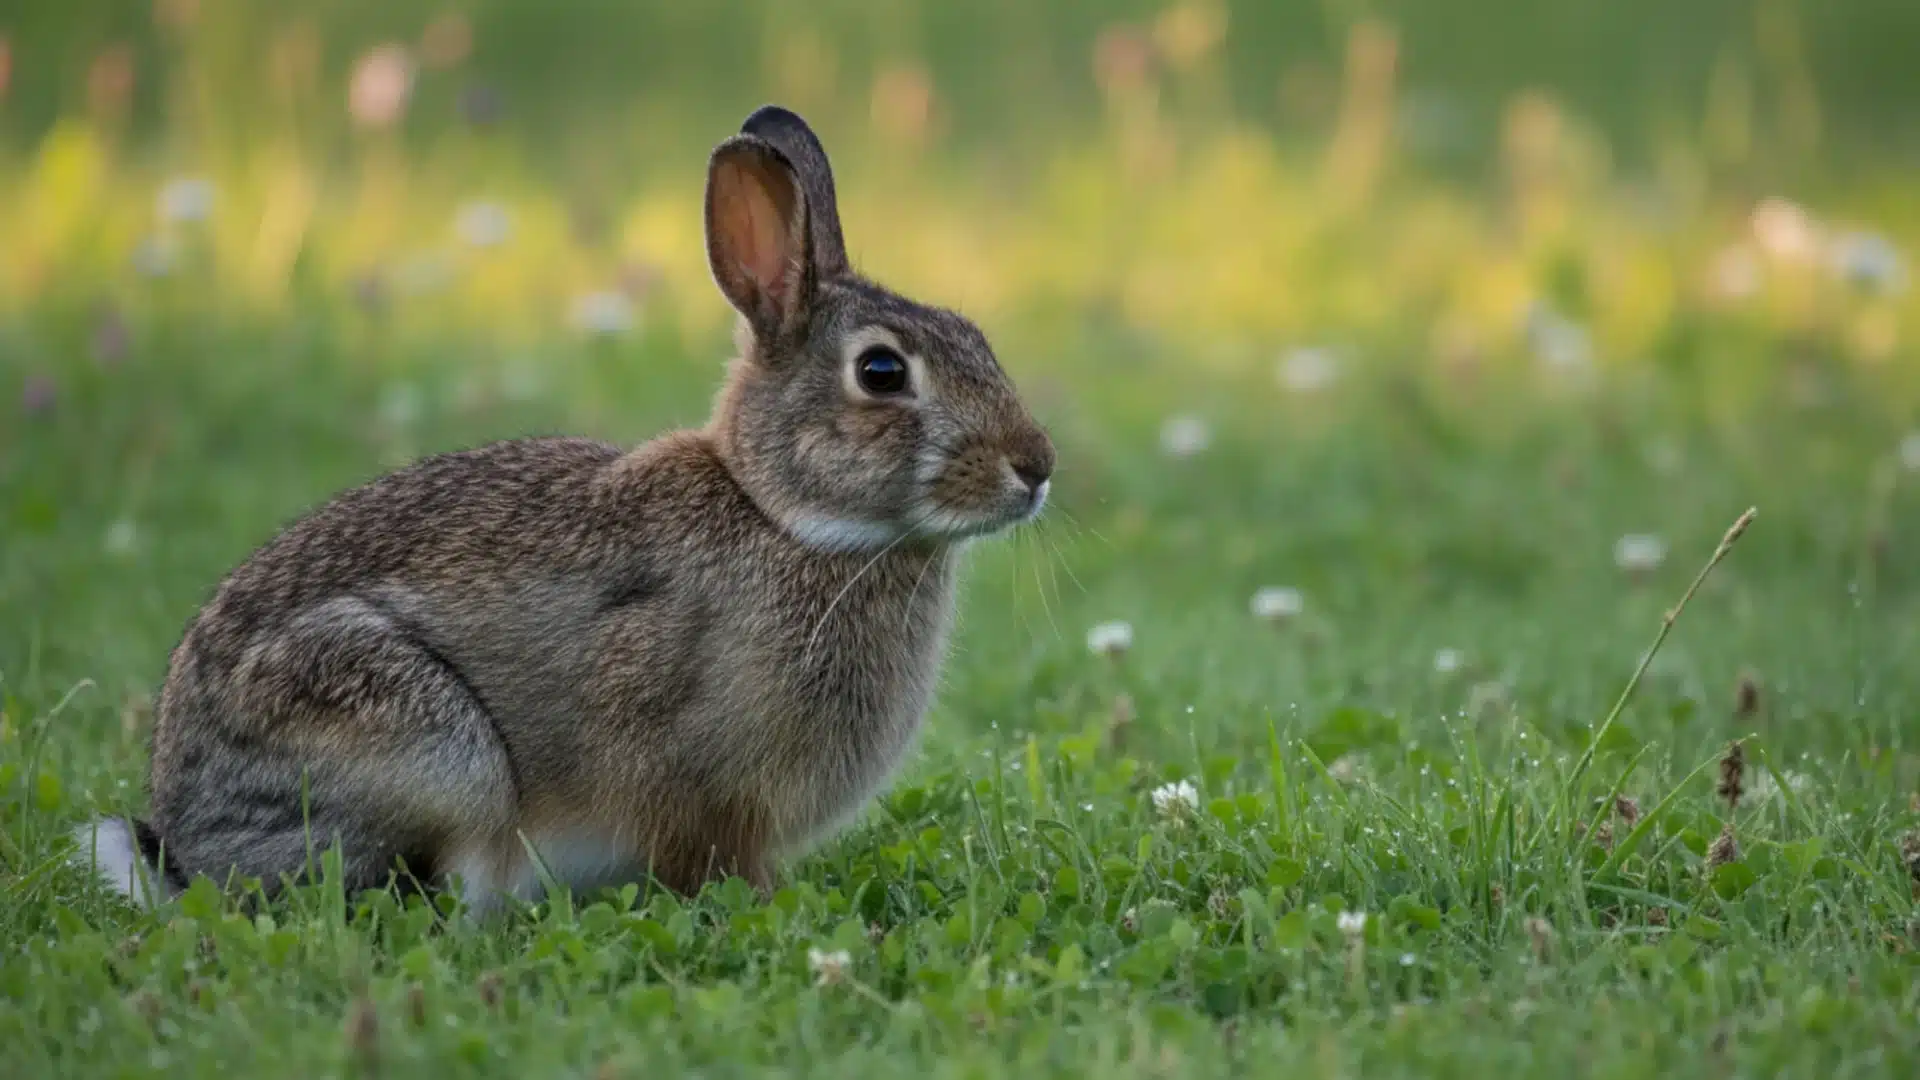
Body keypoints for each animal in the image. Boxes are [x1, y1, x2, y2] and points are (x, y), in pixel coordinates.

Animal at [71, 105, 1055, 917]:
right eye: (882, 372)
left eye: (974, 335)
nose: (1036, 468)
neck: (784, 515)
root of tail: (188, 846)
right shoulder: (687, 772)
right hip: (425, 744)